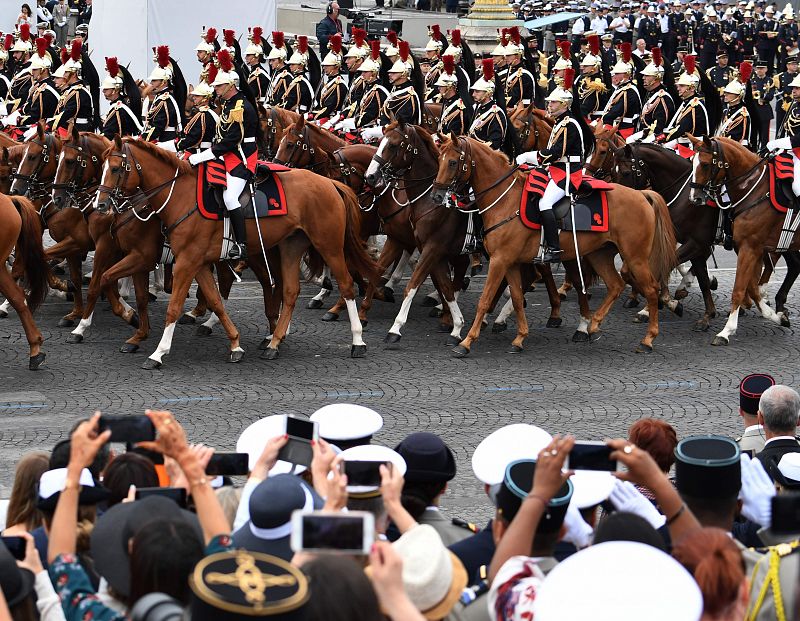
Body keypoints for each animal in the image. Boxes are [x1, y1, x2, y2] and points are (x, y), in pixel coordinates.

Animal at [94, 137, 378, 368]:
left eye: (116, 168)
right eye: (102, 167)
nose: (100, 204)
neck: (179, 195)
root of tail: (330, 182)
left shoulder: (181, 262)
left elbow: (173, 307)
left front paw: (157, 352)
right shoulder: (196, 263)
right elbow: (216, 301)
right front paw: (235, 344)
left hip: (328, 246)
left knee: (346, 285)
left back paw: (357, 341)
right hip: (290, 247)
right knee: (288, 291)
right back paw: (274, 342)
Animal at [428, 136, 680, 354]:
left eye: (452, 162)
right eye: (439, 159)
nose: (437, 196)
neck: (504, 199)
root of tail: (642, 194)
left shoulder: (500, 261)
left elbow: (485, 299)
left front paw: (466, 342)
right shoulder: (510, 262)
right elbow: (517, 298)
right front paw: (519, 338)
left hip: (635, 257)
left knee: (651, 289)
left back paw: (647, 339)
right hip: (599, 254)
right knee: (616, 285)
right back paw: (593, 325)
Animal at [688, 134, 792, 344]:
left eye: (705, 164)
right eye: (692, 162)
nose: (694, 198)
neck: (754, 190)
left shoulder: (749, 248)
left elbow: (739, 289)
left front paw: (726, 331)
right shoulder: (750, 248)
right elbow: (750, 286)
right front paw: (774, 315)